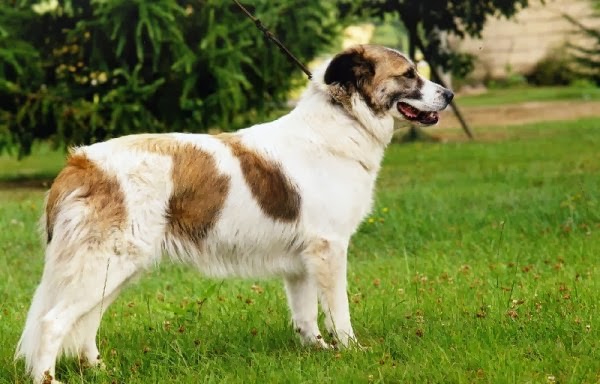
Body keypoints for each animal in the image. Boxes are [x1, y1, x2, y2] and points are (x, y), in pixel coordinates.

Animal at [16, 44, 452, 380]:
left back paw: (99, 370)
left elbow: (306, 316)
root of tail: (80, 163)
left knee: (85, 323)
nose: (448, 94)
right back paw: (47, 378)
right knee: (53, 322)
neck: (343, 121)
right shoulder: (329, 249)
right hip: (103, 266)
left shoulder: (302, 261)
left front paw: (317, 352)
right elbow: (338, 312)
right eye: (409, 75)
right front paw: (350, 351)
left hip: (114, 269)